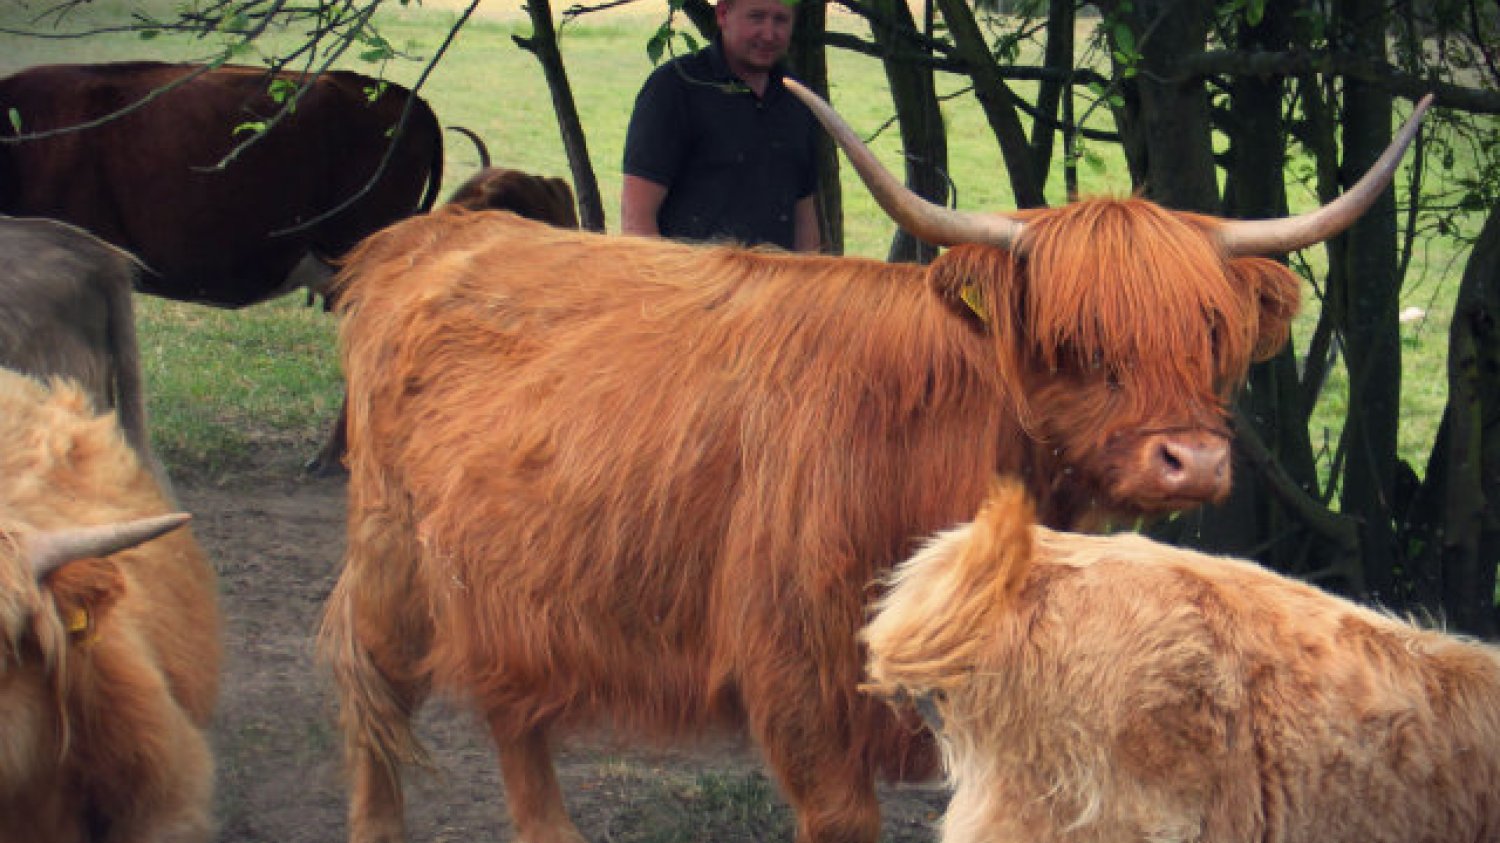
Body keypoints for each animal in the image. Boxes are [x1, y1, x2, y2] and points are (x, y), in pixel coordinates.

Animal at [318, 88, 1431, 843]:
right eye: (1072, 339)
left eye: (1210, 334)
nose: (1191, 461)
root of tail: (441, 230)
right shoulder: (800, 676)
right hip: (389, 562)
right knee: (372, 706)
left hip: (513, 576)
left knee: (515, 711)